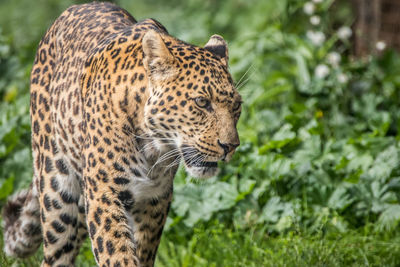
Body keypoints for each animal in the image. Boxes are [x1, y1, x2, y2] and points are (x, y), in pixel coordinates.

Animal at [2, 2, 241, 267]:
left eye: (237, 106)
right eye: (201, 102)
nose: (231, 146)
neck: (153, 146)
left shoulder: (155, 198)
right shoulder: (104, 194)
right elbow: (115, 252)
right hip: (58, 192)